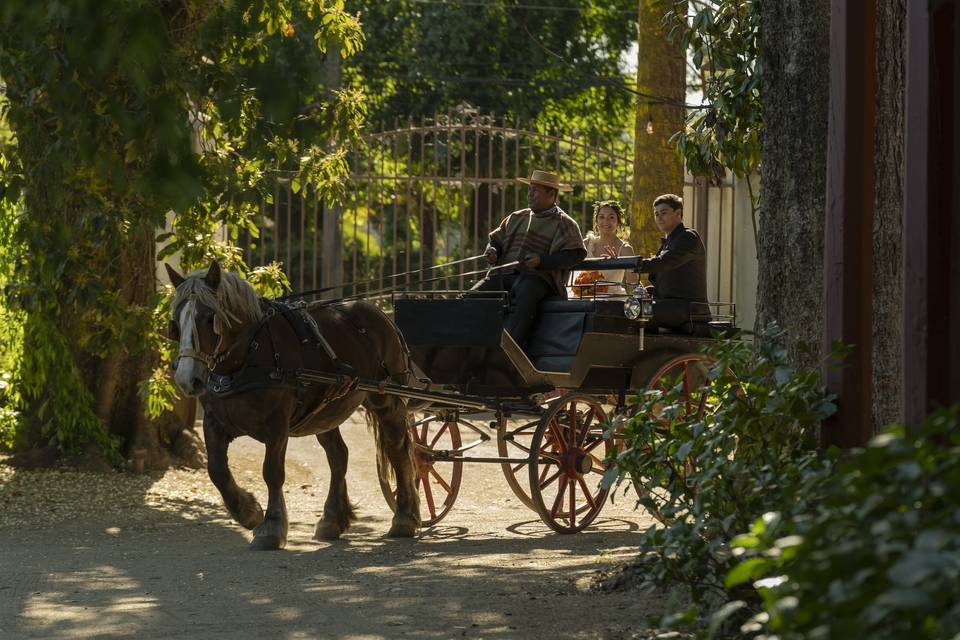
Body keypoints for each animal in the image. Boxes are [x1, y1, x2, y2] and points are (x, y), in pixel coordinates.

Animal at [165, 262, 420, 552]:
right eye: (175, 322)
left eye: (210, 319)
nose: (188, 379)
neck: (248, 357)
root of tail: (380, 314)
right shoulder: (213, 422)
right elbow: (217, 471)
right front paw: (248, 511)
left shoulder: (276, 424)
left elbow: (272, 472)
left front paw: (271, 526)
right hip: (325, 411)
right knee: (338, 456)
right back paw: (332, 519)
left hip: (385, 401)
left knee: (397, 450)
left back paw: (404, 518)